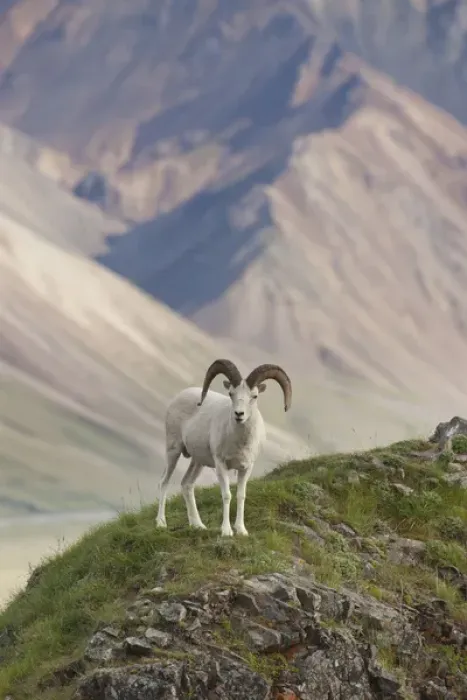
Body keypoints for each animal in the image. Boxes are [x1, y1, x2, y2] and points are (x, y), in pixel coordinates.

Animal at [156, 358, 292, 537]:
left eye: (254, 396)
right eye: (231, 394)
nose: (239, 414)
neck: (239, 442)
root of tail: (180, 395)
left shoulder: (246, 468)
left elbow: (241, 495)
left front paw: (241, 530)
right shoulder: (221, 465)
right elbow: (227, 495)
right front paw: (226, 531)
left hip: (198, 462)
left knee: (186, 484)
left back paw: (198, 525)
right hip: (173, 450)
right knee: (164, 482)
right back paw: (161, 523)